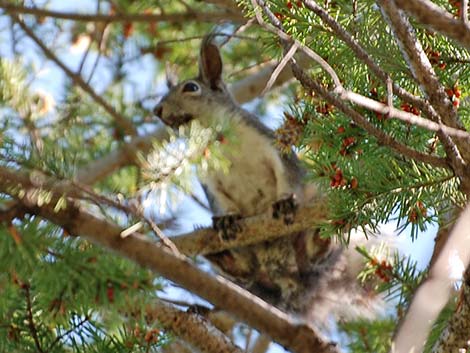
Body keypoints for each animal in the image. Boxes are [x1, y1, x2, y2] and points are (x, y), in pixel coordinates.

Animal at [154, 35, 386, 324]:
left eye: (191, 87)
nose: (157, 110)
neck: (219, 138)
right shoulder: (208, 175)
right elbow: (220, 201)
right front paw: (227, 219)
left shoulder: (272, 146)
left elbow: (286, 175)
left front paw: (285, 202)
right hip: (250, 274)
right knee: (246, 275)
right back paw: (221, 263)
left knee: (314, 257)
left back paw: (320, 238)